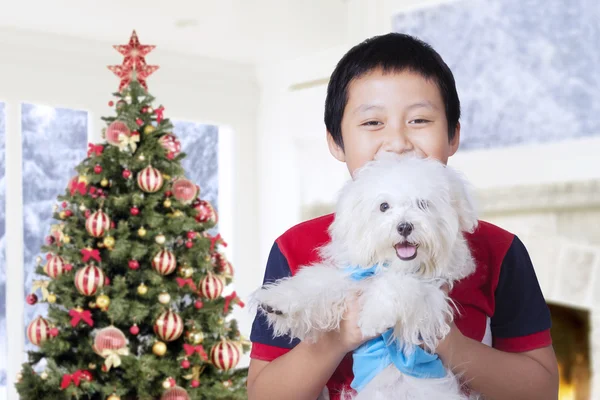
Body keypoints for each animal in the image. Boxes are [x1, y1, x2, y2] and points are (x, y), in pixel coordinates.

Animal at [251, 154, 480, 400]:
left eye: (423, 204)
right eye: (384, 206)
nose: (404, 227)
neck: (391, 265)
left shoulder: (431, 295)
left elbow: (397, 284)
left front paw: (373, 316)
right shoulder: (352, 278)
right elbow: (319, 282)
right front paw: (277, 302)